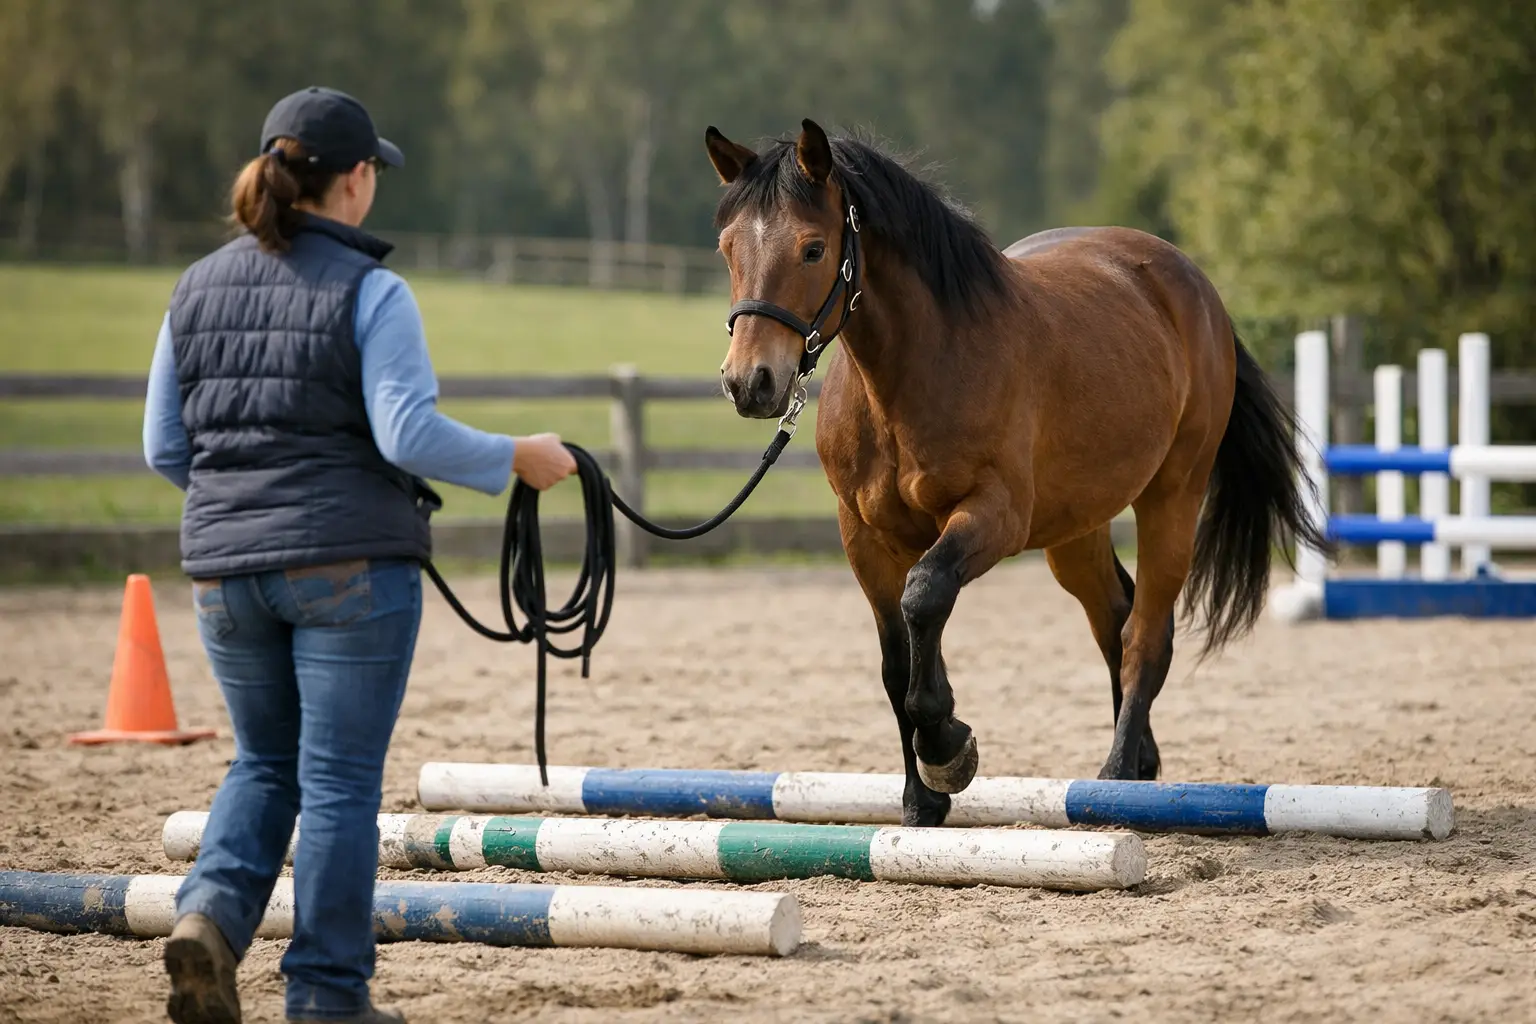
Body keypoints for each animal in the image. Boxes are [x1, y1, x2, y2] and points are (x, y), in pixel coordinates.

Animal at [703, 119, 1330, 827]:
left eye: (812, 250)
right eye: (728, 248)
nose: (750, 382)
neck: (915, 371)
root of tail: (1192, 286)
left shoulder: (993, 517)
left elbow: (926, 596)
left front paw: (947, 747)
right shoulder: (864, 538)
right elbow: (897, 662)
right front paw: (921, 798)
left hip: (1172, 498)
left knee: (1145, 635)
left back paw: (1115, 780)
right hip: (1075, 528)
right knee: (1115, 618)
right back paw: (1139, 766)